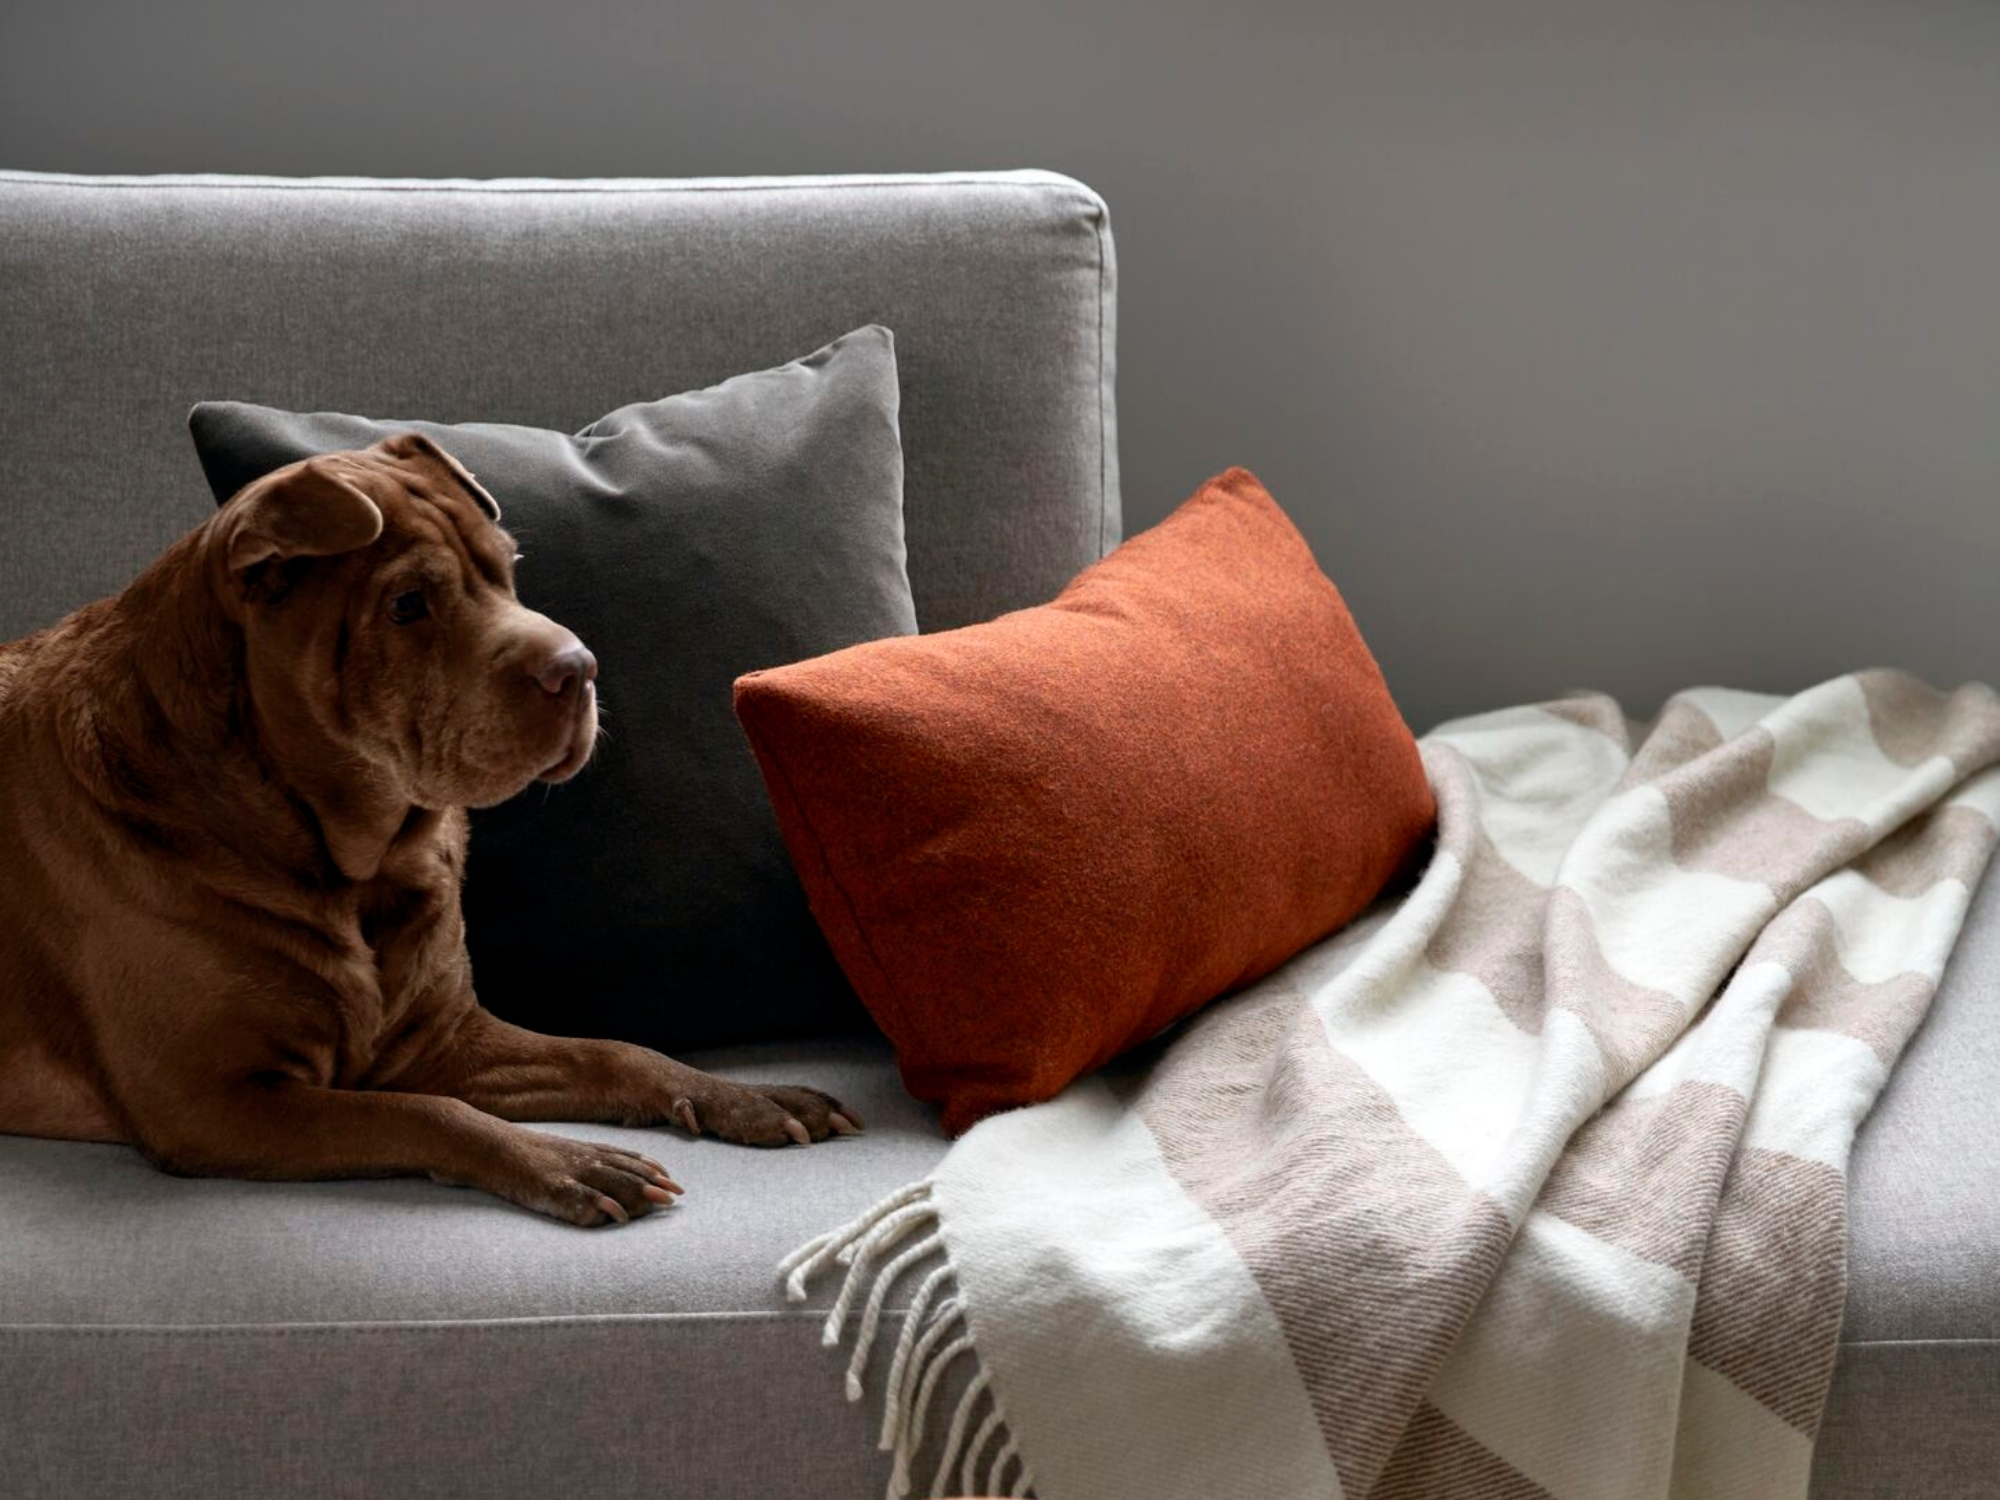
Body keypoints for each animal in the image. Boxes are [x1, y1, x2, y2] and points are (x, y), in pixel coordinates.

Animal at [0, 434, 860, 1232]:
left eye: (507, 569)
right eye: (407, 604)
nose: (579, 668)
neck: (355, 860)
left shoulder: (443, 1038)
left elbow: (614, 1051)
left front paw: (742, 1097)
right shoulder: (212, 1100)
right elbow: (427, 1113)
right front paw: (570, 1162)